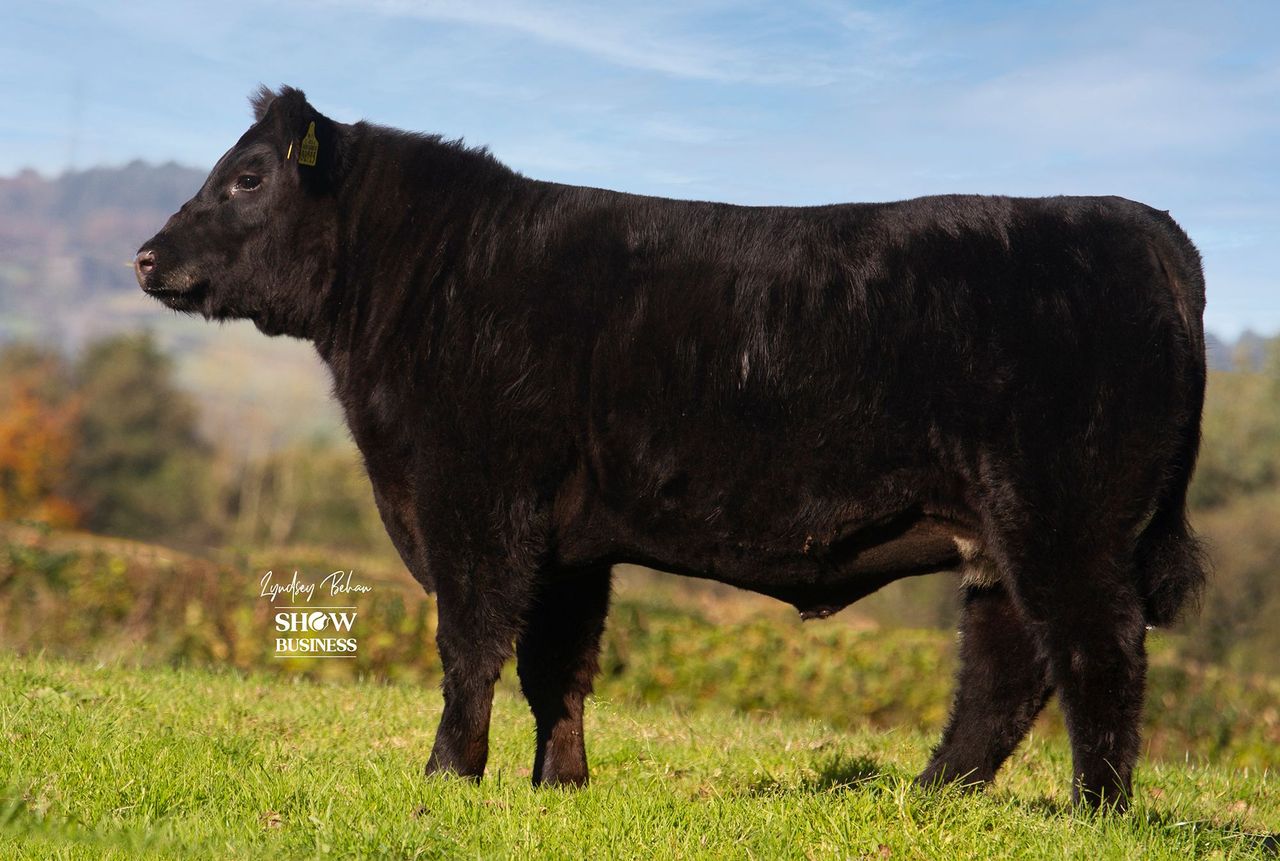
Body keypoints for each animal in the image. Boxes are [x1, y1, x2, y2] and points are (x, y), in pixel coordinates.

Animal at [136, 86, 1207, 811]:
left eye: (247, 177)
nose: (147, 257)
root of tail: (1143, 224)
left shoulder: (477, 501)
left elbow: (472, 643)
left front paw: (447, 776)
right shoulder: (566, 540)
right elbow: (556, 665)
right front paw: (559, 785)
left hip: (1066, 517)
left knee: (1096, 649)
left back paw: (1095, 810)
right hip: (999, 533)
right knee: (1005, 667)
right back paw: (931, 795)